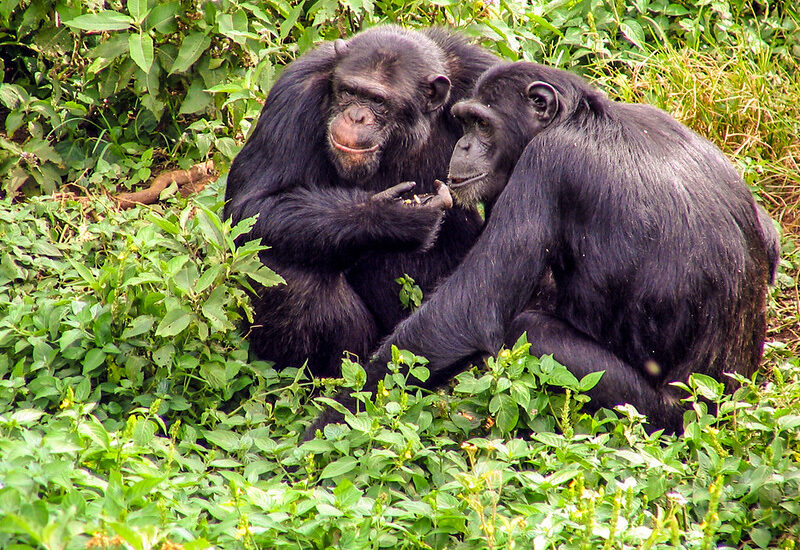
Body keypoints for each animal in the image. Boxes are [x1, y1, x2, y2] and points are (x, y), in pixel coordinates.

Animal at [225, 25, 496, 380]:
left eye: (378, 101)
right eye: (349, 92)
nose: (356, 116)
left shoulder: (483, 76)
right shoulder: (294, 95)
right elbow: (251, 206)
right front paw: (391, 217)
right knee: (283, 269)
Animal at [308, 61, 780, 440]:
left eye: (480, 124)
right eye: (462, 123)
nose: (462, 145)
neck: (578, 119)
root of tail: (725, 412)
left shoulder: (545, 165)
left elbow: (467, 311)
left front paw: (328, 430)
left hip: (654, 417)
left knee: (532, 330)